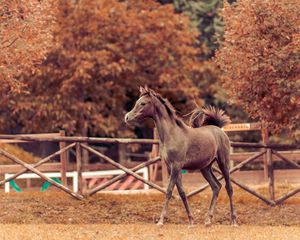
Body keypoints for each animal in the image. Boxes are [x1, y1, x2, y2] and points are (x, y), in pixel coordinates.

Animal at [124, 86, 237, 227]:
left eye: (143, 103)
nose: (127, 117)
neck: (172, 134)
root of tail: (219, 129)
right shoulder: (171, 167)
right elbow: (182, 193)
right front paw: (191, 221)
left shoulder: (176, 166)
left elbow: (169, 191)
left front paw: (161, 221)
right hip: (205, 168)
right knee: (216, 187)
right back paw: (208, 220)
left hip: (223, 163)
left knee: (229, 188)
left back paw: (233, 221)